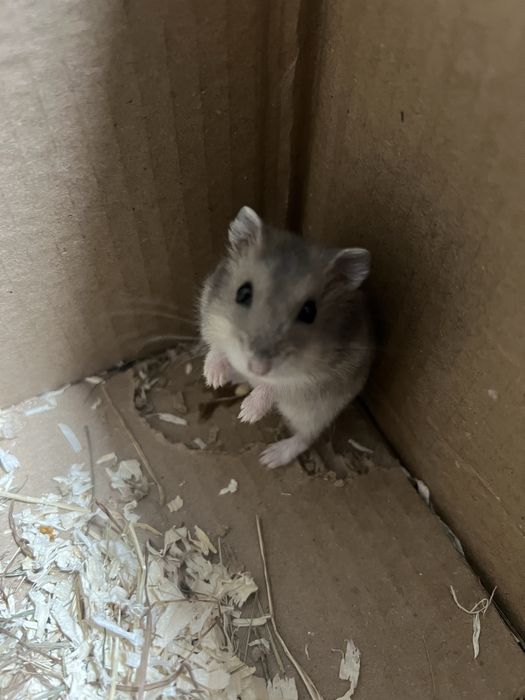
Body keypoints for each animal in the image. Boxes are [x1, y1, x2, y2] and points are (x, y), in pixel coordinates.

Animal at [199, 206, 374, 469]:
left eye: (309, 312)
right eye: (243, 293)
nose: (257, 368)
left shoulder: (309, 381)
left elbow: (274, 388)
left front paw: (246, 414)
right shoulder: (209, 318)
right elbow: (216, 349)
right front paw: (212, 378)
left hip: (314, 413)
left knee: (305, 437)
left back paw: (269, 457)